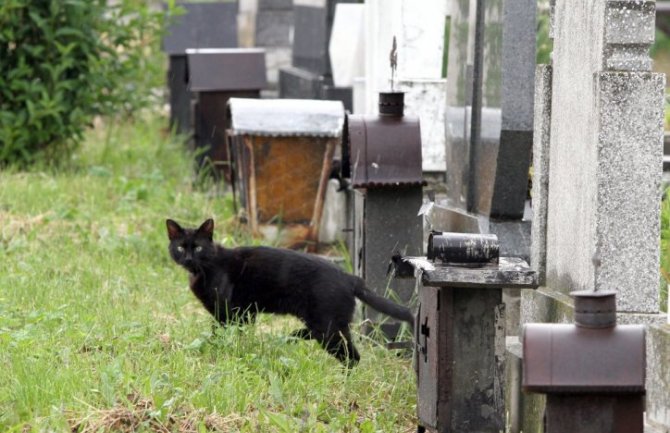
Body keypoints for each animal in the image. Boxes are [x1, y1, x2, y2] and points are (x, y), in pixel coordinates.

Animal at [167, 216, 414, 364]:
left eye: (198, 248)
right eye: (180, 247)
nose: (188, 258)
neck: (204, 269)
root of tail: (351, 277)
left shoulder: (228, 312)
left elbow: (220, 334)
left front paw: (217, 350)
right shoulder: (246, 313)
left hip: (327, 326)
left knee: (350, 356)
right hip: (332, 324)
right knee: (346, 350)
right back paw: (295, 337)